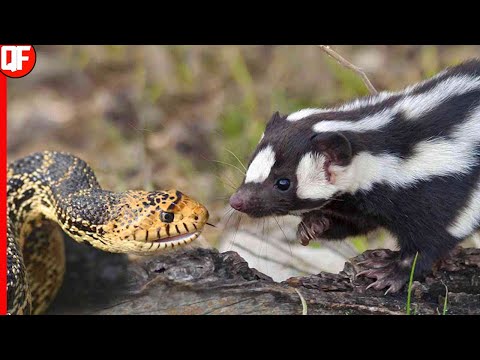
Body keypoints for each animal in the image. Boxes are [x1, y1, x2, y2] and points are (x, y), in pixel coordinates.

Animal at [229, 59, 480, 294]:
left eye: (283, 183)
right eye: (250, 167)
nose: (237, 201)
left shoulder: (446, 188)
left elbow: (434, 238)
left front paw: (392, 273)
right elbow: (356, 221)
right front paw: (314, 224)